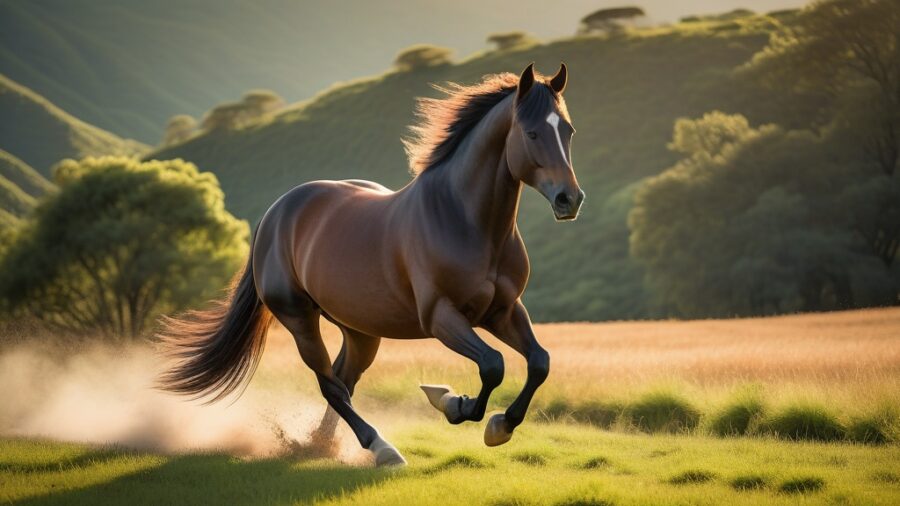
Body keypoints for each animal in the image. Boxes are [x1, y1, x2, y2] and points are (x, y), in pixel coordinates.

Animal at [158, 63, 584, 466]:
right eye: (531, 133)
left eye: (568, 131)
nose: (570, 199)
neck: (463, 220)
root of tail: (275, 214)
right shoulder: (442, 317)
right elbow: (493, 365)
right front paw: (452, 403)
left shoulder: (502, 310)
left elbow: (539, 362)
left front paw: (500, 425)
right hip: (299, 319)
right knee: (330, 384)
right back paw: (381, 448)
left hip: (360, 329)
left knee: (343, 381)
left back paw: (323, 445)